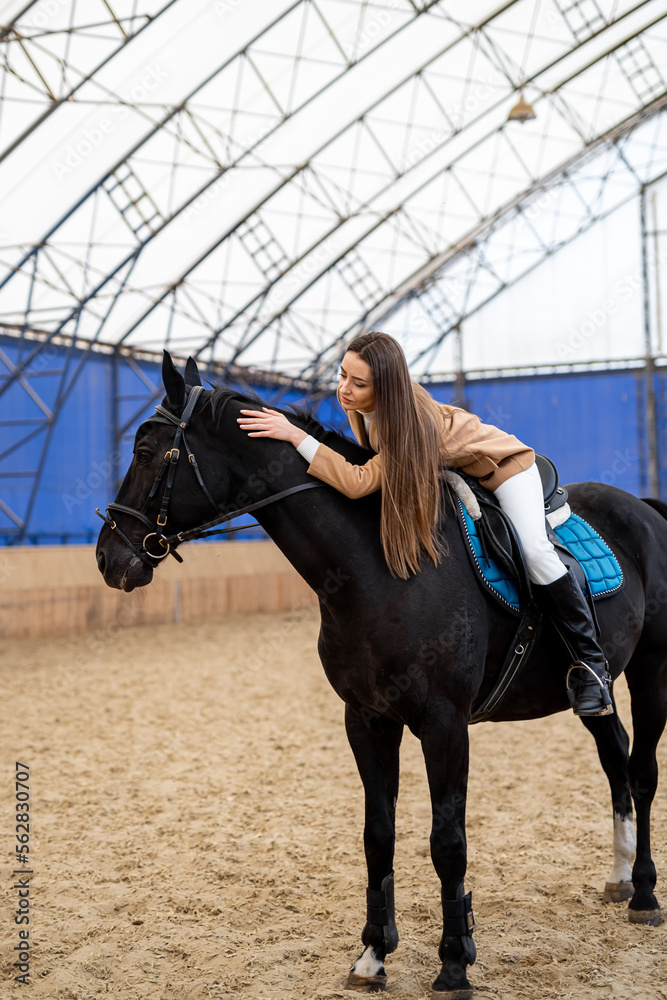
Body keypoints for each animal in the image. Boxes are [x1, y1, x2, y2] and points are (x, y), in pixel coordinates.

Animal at [96, 356, 664, 996]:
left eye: (146, 450)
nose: (108, 557)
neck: (380, 566)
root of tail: (644, 507)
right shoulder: (367, 719)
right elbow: (378, 835)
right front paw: (372, 955)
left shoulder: (444, 725)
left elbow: (448, 842)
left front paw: (454, 962)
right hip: (593, 689)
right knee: (615, 757)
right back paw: (619, 876)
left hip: (651, 669)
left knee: (641, 772)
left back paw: (644, 893)